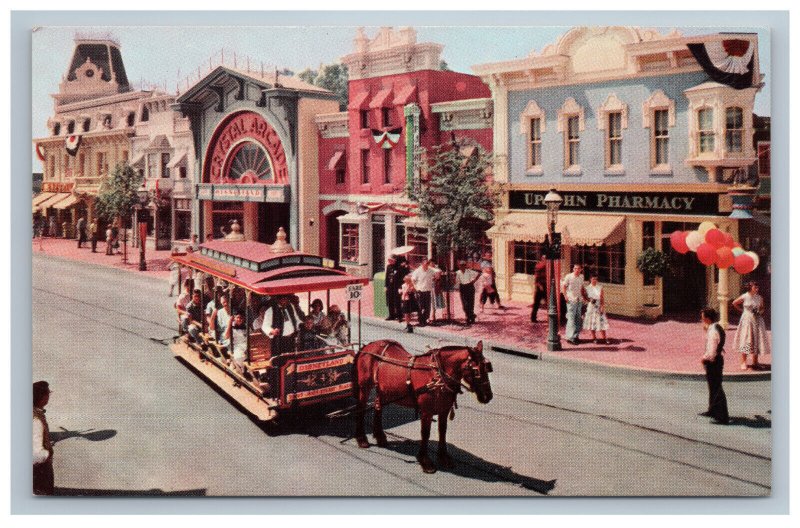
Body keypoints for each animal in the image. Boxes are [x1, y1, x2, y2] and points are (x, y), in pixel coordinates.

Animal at [354, 342, 490, 474]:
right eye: (476, 370)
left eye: (487, 367)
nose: (488, 396)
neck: (437, 375)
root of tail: (367, 346)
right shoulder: (426, 412)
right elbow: (425, 433)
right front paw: (425, 461)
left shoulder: (444, 410)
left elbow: (442, 431)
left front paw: (443, 457)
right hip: (364, 387)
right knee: (361, 409)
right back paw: (361, 439)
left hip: (383, 390)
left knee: (378, 406)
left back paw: (380, 437)